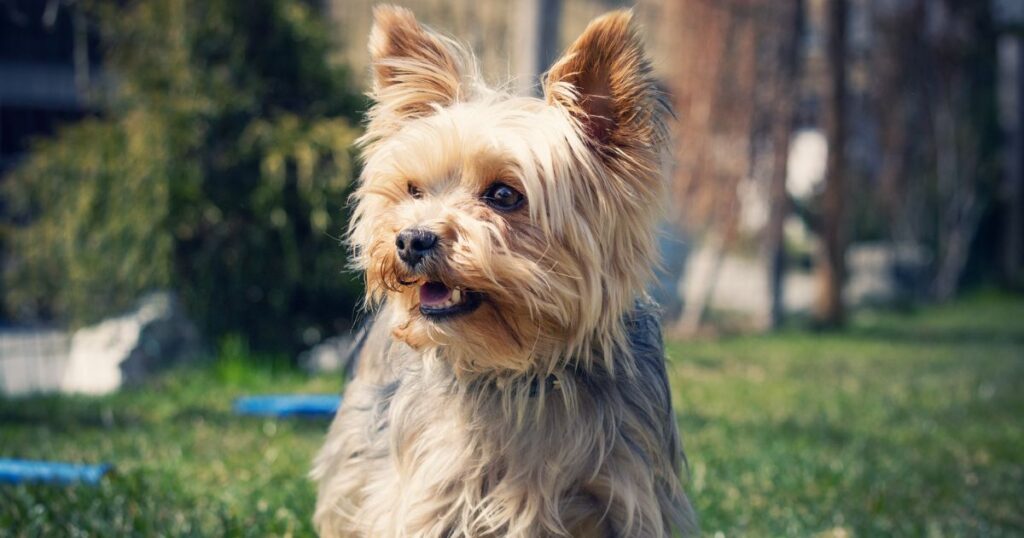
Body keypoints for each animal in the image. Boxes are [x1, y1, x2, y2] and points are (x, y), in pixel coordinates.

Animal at [311, 6, 696, 532]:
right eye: (414, 190)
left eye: (503, 195)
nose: (410, 239)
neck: (523, 373)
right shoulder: (430, 491)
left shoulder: (627, 493)